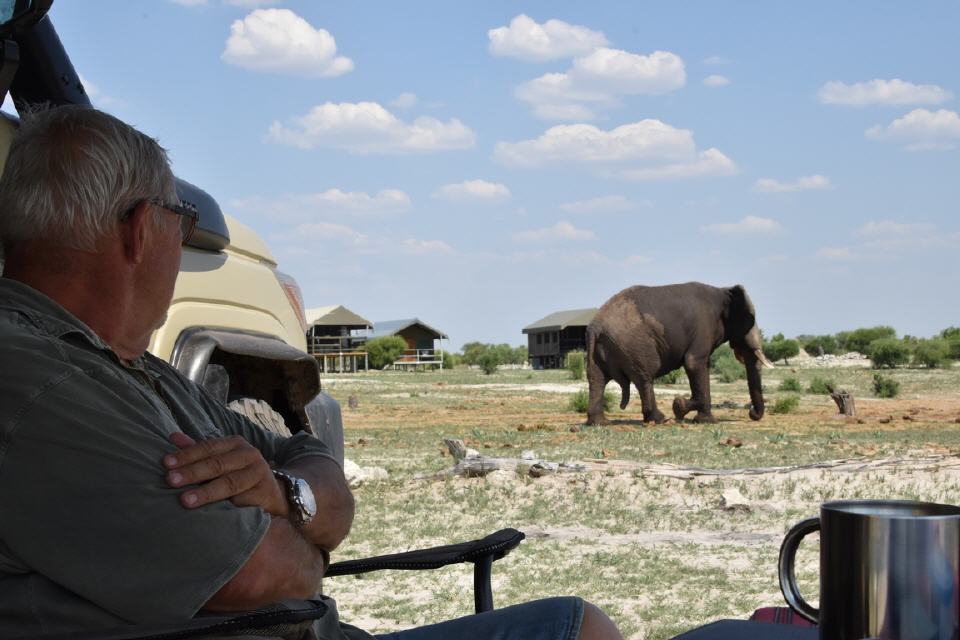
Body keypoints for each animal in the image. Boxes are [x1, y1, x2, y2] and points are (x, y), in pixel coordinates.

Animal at [584, 284, 772, 424]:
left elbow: (704, 367)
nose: (752, 413)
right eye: (750, 322)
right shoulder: (704, 326)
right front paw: (681, 408)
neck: (724, 290)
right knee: (645, 378)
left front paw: (701, 418)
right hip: (634, 345)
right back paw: (660, 419)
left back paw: (600, 423)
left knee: (597, 380)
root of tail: (595, 327)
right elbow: (694, 363)